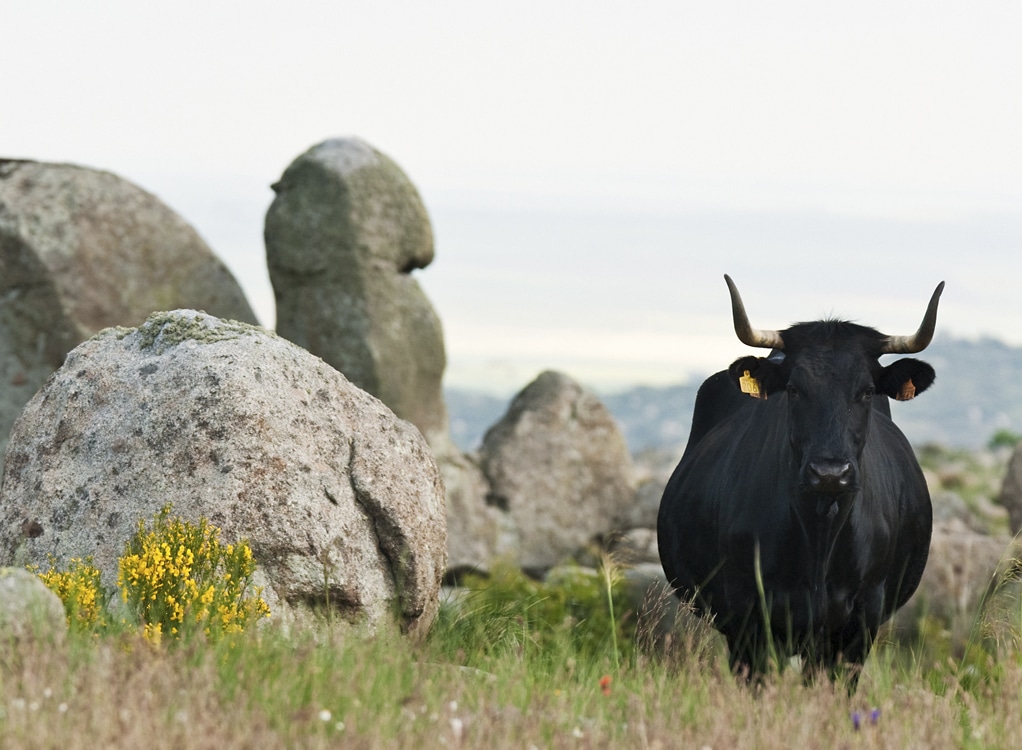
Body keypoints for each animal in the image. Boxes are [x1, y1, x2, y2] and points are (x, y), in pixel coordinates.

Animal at [658, 277, 944, 686]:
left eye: (866, 391)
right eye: (794, 389)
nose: (830, 472)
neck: (819, 536)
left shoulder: (859, 624)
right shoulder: (747, 617)